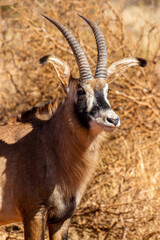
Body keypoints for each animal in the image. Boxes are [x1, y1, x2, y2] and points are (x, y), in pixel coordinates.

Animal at [0, 15, 146, 240]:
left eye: (108, 90)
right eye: (80, 91)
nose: (112, 120)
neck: (48, 147)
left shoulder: (62, 219)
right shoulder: (33, 213)